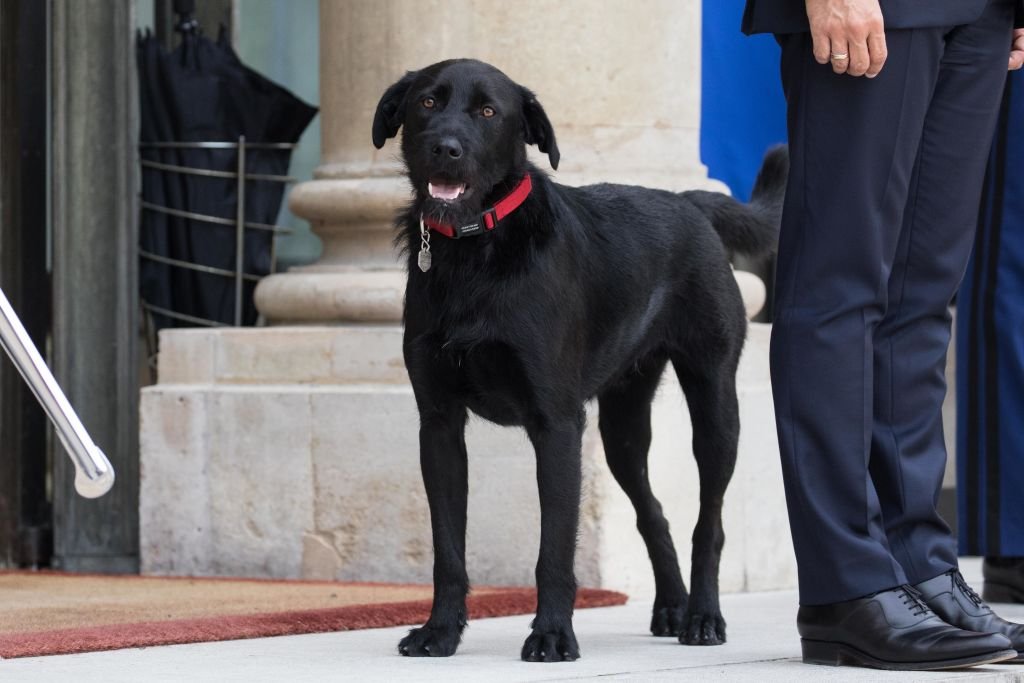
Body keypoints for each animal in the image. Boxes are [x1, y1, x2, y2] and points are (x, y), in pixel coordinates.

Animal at [372, 57, 786, 663]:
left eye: (488, 111)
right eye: (427, 102)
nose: (446, 149)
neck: (475, 250)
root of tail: (689, 200)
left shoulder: (557, 426)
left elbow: (554, 550)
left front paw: (551, 635)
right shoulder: (440, 426)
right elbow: (447, 548)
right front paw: (440, 631)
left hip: (714, 405)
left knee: (708, 522)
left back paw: (703, 616)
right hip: (623, 429)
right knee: (654, 512)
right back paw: (672, 607)